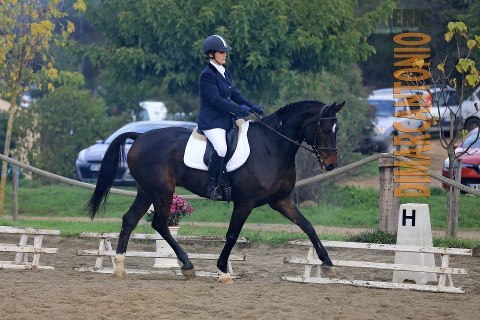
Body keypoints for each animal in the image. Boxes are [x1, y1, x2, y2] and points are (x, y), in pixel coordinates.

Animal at [85, 99, 342, 280]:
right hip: (162, 192)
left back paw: (120, 268)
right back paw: (187, 266)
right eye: (324, 128)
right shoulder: (245, 203)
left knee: (129, 220)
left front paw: (328, 265)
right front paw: (222, 270)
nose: (332, 165)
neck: (272, 147)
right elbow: (232, 235)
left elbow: (308, 226)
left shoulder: (282, 201)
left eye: (336, 129)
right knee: (160, 224)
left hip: (146, 191)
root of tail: (139, 137)